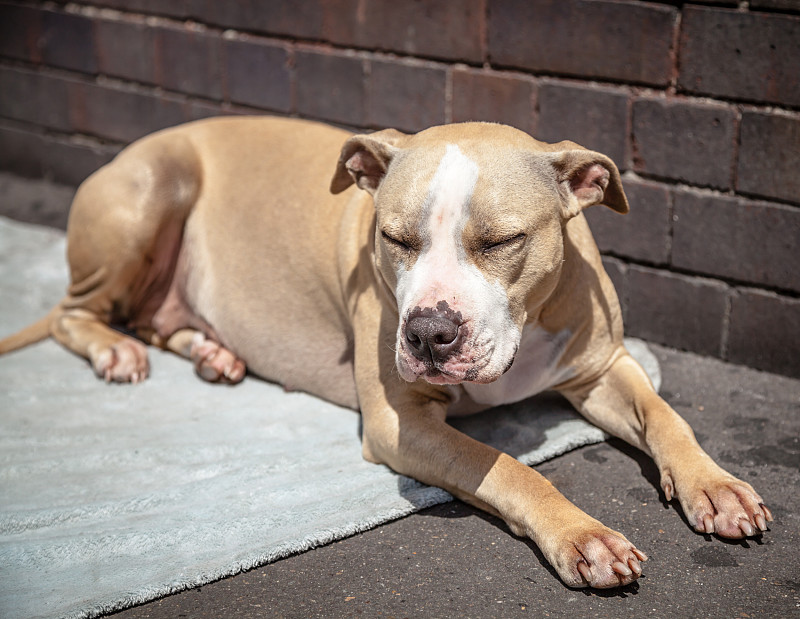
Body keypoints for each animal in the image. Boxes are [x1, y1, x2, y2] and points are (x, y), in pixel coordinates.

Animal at [0, 117, 768, 592]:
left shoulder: (603, 367)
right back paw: (115, 353)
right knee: (77, 313)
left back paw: (211, 352)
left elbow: (668, 418)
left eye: (501, 241)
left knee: (149, 316)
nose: (429, 332)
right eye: (395, 237)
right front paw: (583, 535)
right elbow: (511, 468)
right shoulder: (405, 424)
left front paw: (715, 485)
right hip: (152, 187)